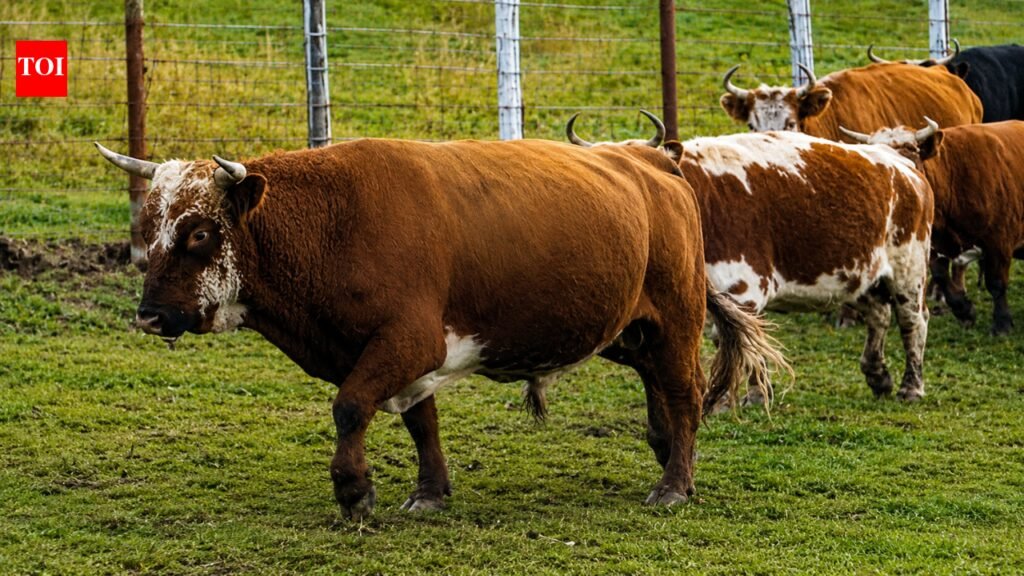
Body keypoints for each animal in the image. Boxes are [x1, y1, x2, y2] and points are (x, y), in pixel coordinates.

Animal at [95, 137, 787, 520]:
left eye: (199, 233)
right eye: (149, 228)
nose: (149, 315)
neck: (333, 222)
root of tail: (654, 159)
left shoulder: (408, 341)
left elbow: (351, 406)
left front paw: (354, 489)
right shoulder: (400, 355)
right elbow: (418, 419)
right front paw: (430, 492)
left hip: (676, 317)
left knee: (684, 392)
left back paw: (674, 484)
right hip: (628, 329)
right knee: (659, 386)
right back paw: (667, 451)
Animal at [568, 113, 934, 404]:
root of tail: (902, 164)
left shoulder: (744, 286)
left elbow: (742, 338)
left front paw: (751, 396)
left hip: (909, 270)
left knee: (912, 320)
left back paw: (912, 387)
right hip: (861, 276)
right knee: (878, 316)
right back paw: (877, 375)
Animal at [840, 119, 1024, 335]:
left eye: (910, 149)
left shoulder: (999, 239)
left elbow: (996, 282)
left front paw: (1002, 323)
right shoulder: (933, 244)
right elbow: (942, 277)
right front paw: (965, 311)